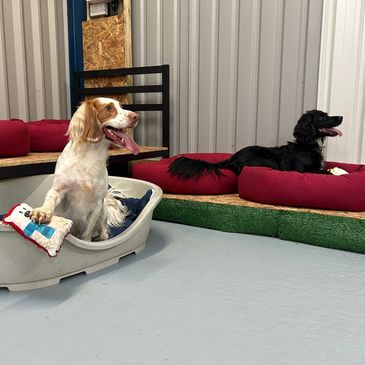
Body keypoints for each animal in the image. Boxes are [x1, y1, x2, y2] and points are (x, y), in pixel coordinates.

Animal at [29, 96, 138, 240]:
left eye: (121, 106)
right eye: (108, 108)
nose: (136, 116)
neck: (90, 154)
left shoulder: (97, 204)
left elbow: (87, 233)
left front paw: (86, 241)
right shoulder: (58, 189)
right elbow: (50, 199)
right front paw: (42, 212)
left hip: (103, 211)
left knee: (103, 233)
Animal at [168, 111, 342, 179]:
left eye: (326, 114)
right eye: (322, 117)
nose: (341, 117)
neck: (307, 144)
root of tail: (234, 158)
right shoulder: (299, 170)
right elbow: (324, 172)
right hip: (268, 162)